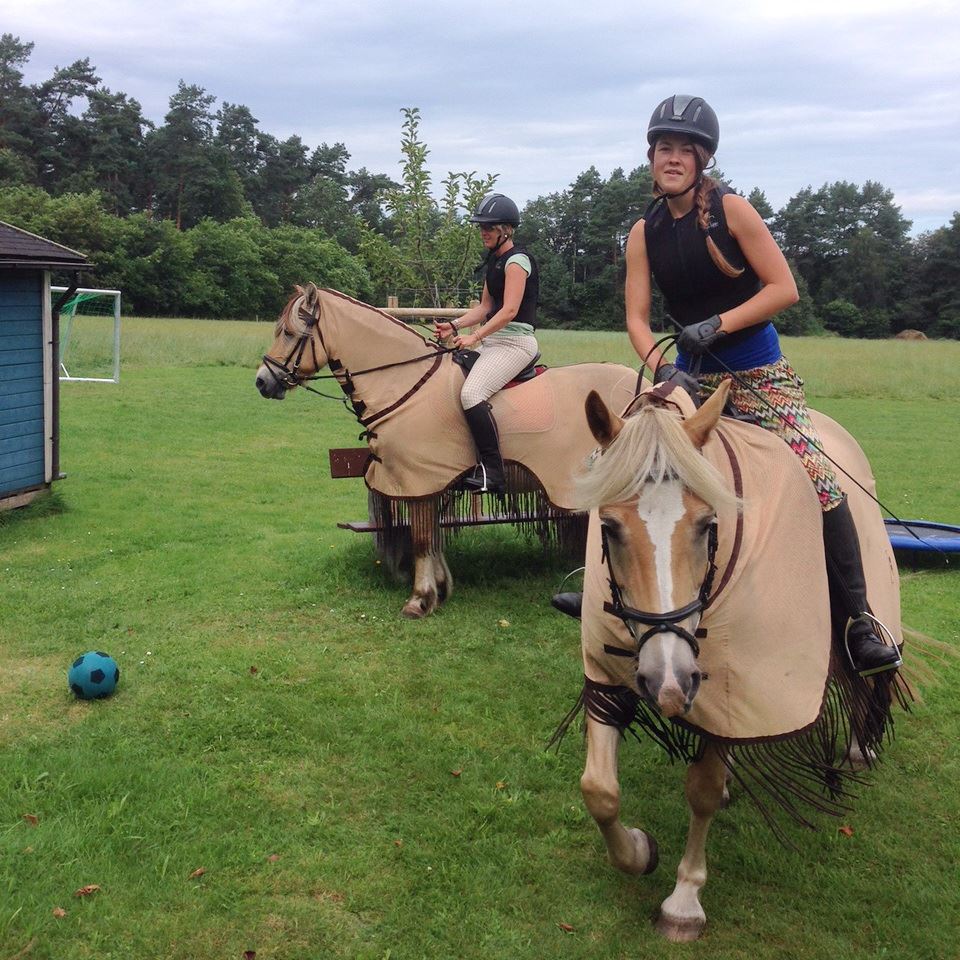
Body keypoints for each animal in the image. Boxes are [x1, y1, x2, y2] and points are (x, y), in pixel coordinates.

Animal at [253, 282, 636, 620]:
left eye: (289, 332)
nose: (262, 381)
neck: (405, 383)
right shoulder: (430, 484)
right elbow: (433, 540)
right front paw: (440, 588)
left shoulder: (420, 481)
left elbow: (423, 540)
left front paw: (420, 599)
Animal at [560, 378, 904, 940]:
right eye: (608, 526)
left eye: (707, 524)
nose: (667, 682)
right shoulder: (609, 674)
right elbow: (599, 790)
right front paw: (639, 851)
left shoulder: (732, 684)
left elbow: (699, 790)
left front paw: (683, 901)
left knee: (869, 668)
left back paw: (860, 743)